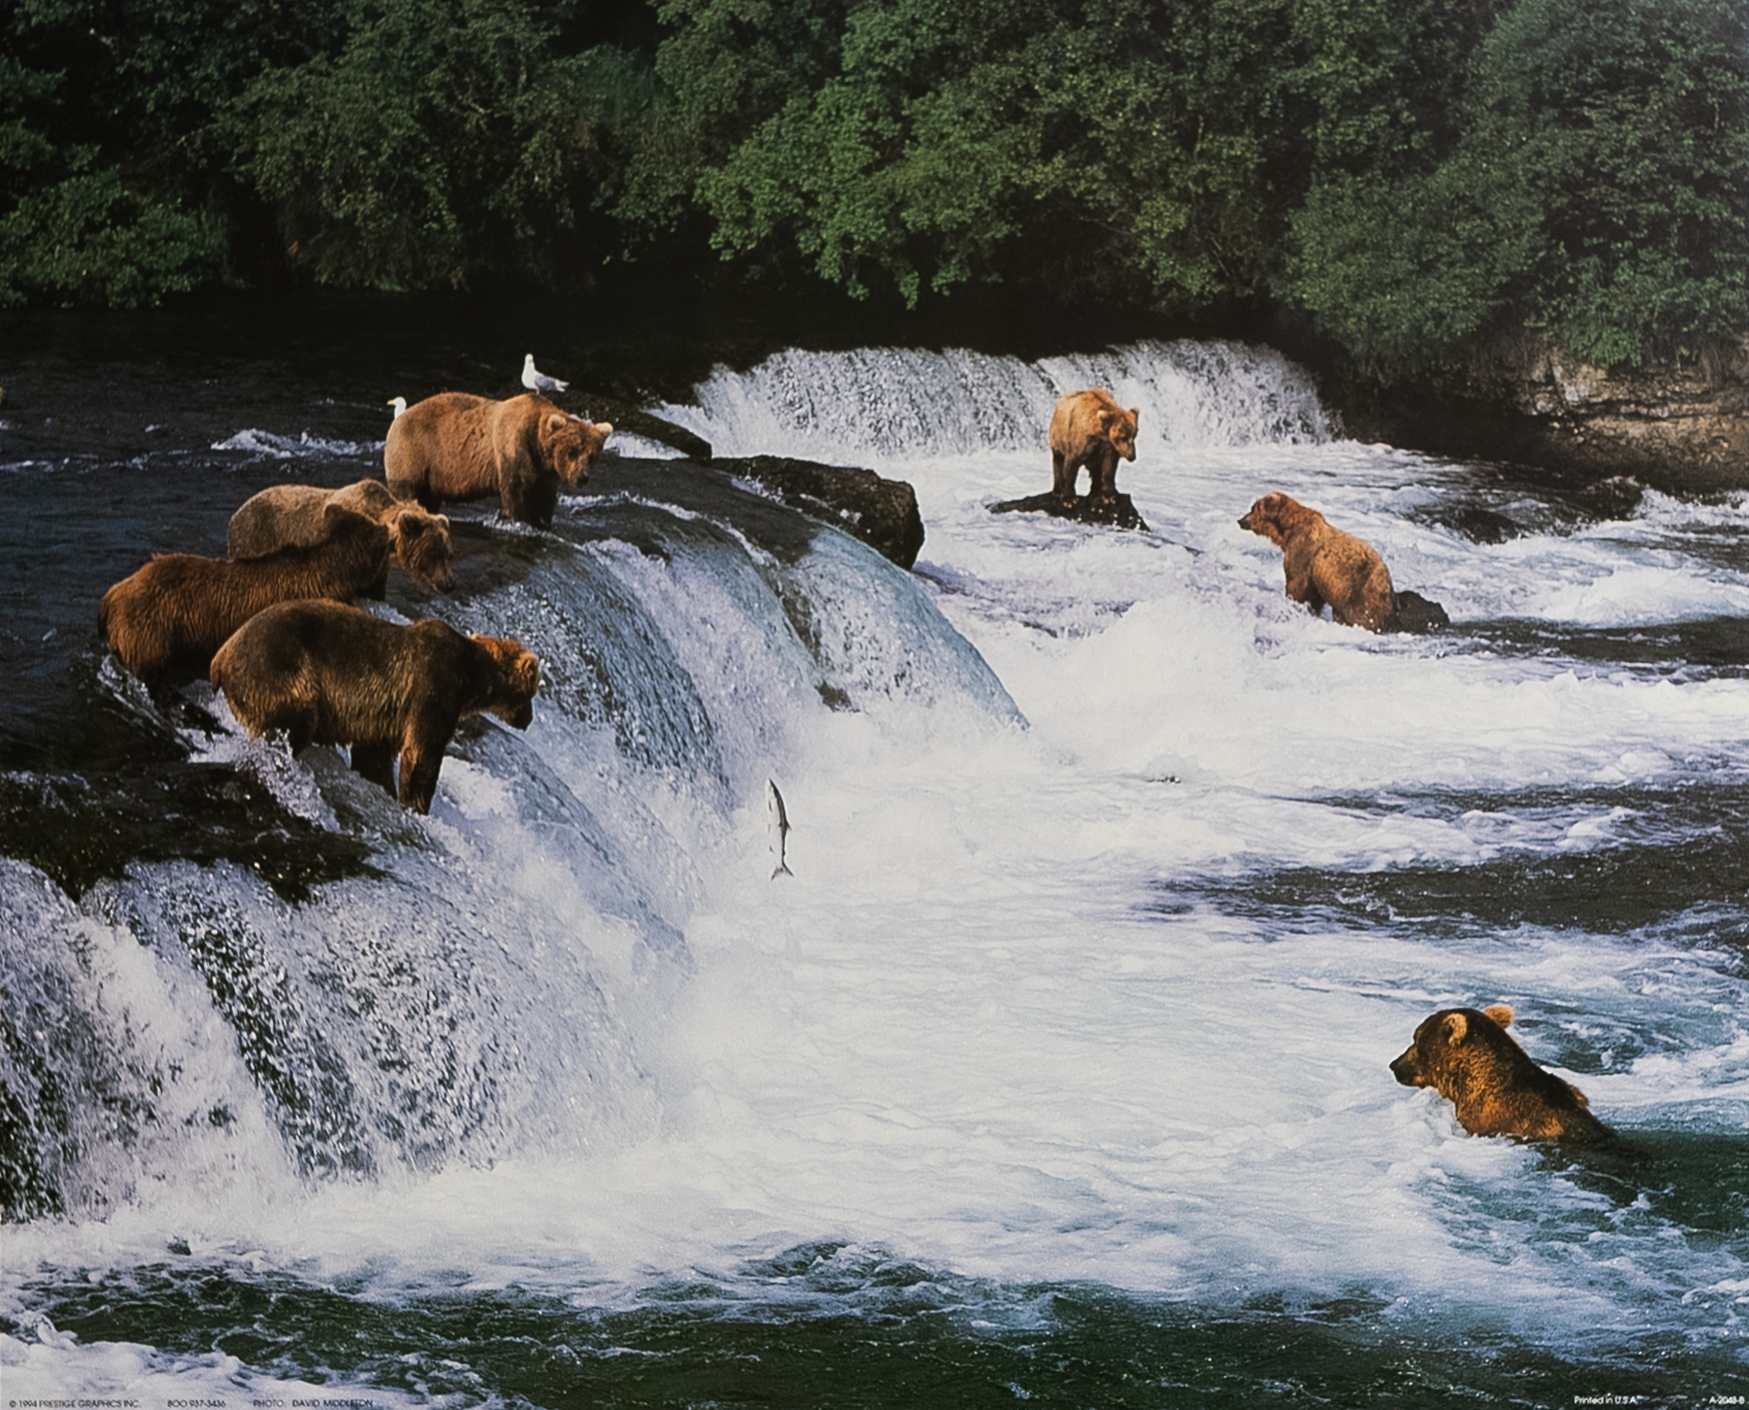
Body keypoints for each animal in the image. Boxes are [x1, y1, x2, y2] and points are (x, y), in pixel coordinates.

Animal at [209, 598, 540, 815]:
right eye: (533, 691)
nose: (529, 720)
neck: (473, 676)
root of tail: (220, 657)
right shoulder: (434, 687)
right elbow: (423, 753)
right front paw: (417, 805)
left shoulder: (384, 718)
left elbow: (374, 757)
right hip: (277, 668)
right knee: (292, 722)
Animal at [227, 479, 456, 594]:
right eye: (434, 553)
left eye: (448, 554)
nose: (448, 585)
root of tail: (234, 516)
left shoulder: (379, 566)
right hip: (255, 537)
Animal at [384, 392, 612, 527]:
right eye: (571, 452)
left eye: (591, 456)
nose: (581, 477)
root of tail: (398, 419)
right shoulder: (514, 447)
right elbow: (516, 490)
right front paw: (517, 519)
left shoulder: (545, 473)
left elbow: (544, 497)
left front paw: (542, 522)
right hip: (414, 454)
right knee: (407, 491)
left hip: (433, 473)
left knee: (429, 498)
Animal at [1238, 491, 1398, 632]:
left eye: (1252, 508)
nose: (1240, 520)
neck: (1286, 532)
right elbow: (1314, 596)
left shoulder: (1303, 552)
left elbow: (1296, 583)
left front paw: (1293, 604)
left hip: (1359, 588)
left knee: (1362, 615)